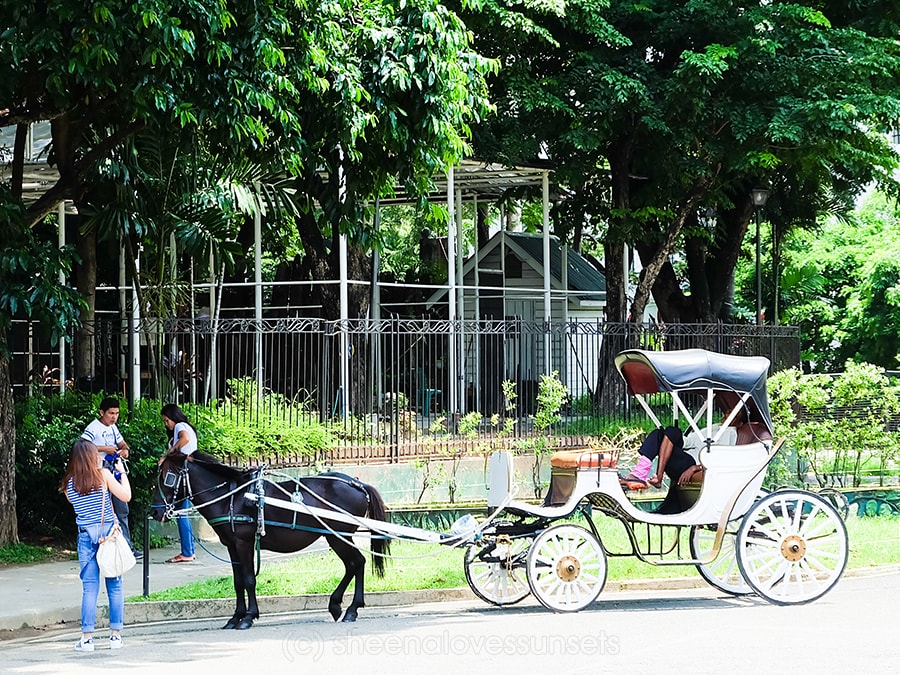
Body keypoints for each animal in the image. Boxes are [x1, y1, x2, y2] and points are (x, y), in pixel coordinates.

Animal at [151, 452, 390, 632]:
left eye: (168, 477)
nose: (155, 512)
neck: (231, 497)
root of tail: (359, 484)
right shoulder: (231, 546)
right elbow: (238, 582)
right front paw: (235, 617)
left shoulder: (244, 544)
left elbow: (249, 580)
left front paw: (248, 617)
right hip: (336, 536)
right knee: (353, 565)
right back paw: (338, 606)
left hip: (338, 535)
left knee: (357, 563)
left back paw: (351, 609)